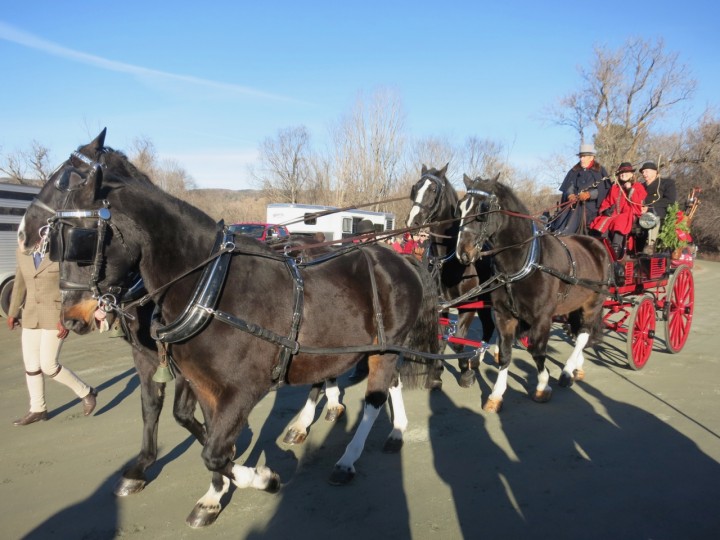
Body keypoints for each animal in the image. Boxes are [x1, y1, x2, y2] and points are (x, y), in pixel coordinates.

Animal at [23, 131, 438, 528]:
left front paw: (262, 477)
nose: (70, 317)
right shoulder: (202, 384)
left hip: (385, 349)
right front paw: (214, 493)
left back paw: (349, 458)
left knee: (374, 400)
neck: (208, 286)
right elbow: (202, 435)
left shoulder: (241, 390)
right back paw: (387, 429)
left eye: (80, 237)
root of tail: (399, 259)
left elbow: (212, 450)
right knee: (379, 384)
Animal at [408, 162, 498, 386]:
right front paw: (436, 373)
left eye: (433, 190)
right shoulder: (442, 305)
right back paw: (477, 359)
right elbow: (441, 340)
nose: (413, 222)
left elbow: (458, 342)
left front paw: (465, 372)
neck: (448, 260)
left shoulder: (469, 305)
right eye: (415, 188)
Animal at [458, 175, 612, 412]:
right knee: (578, 332)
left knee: (583, 336)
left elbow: (538, 352)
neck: (525, 262)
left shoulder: (542, 317)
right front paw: (496, 394)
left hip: (592, 303)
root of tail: (595, 243)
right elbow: (505, 353)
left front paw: (542, 386)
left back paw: (567, 371)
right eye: (461, 207)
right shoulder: (504, 315)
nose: (463, 252)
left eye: (483, 209)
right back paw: (578, 366)